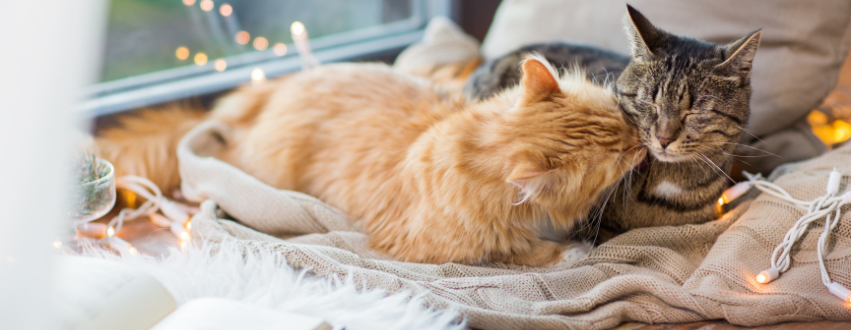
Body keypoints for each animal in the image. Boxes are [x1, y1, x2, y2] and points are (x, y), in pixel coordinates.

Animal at [96, 56, 644, 266]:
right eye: (617, 155)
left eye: (621, 115)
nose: (643, 140)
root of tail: (268, 91)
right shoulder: (438, 248)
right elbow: (520, 251)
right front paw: (572, 251)